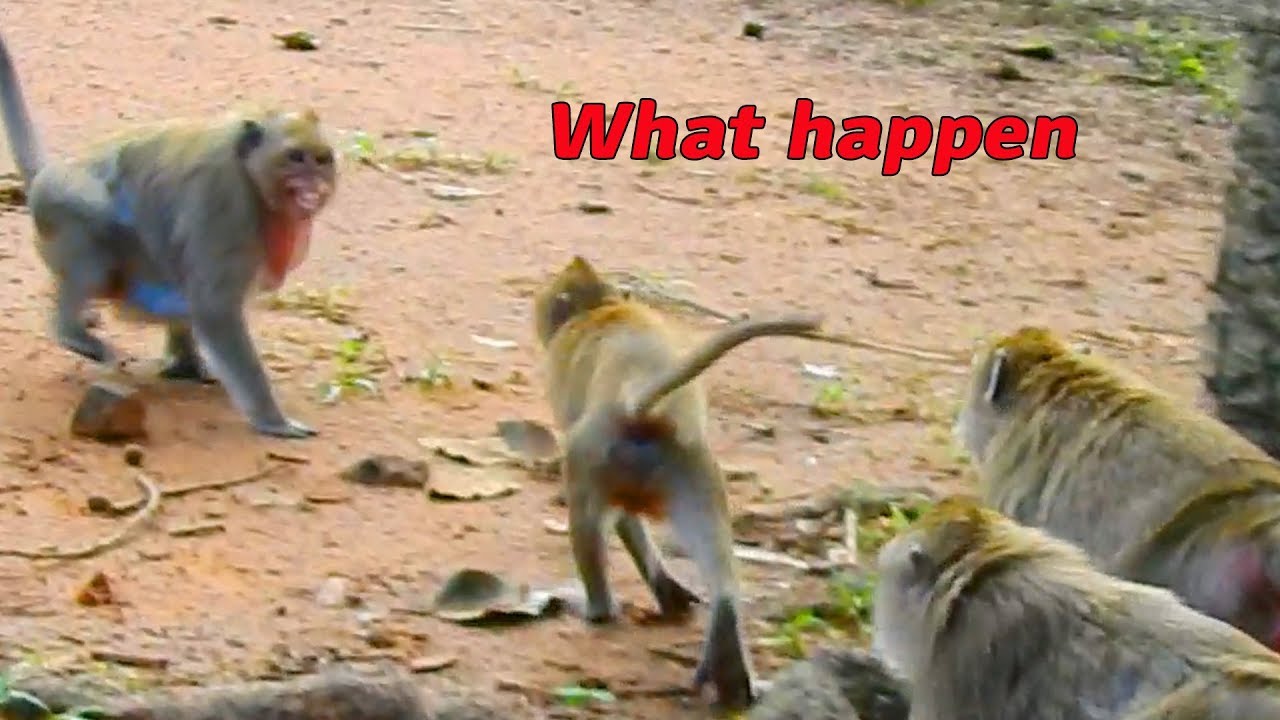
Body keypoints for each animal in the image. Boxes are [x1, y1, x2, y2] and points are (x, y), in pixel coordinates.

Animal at [0, 33, 335, 438]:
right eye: (295, 157)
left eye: (322, 159)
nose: (315, 184)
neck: (252, 177)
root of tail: (43, 177)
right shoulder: (226, 205)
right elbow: (214, 307)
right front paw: (273, 421)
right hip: (61, 209)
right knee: (100, 242)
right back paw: (71, 332)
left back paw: (185, 366)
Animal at [532, 255, 823, 712]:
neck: (603, 307)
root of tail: (640, 404)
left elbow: (618, 520)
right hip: (691, 466)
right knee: (719, 560)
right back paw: (727, 638)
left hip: (592, 452)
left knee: (586, 521)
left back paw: (597, 609)